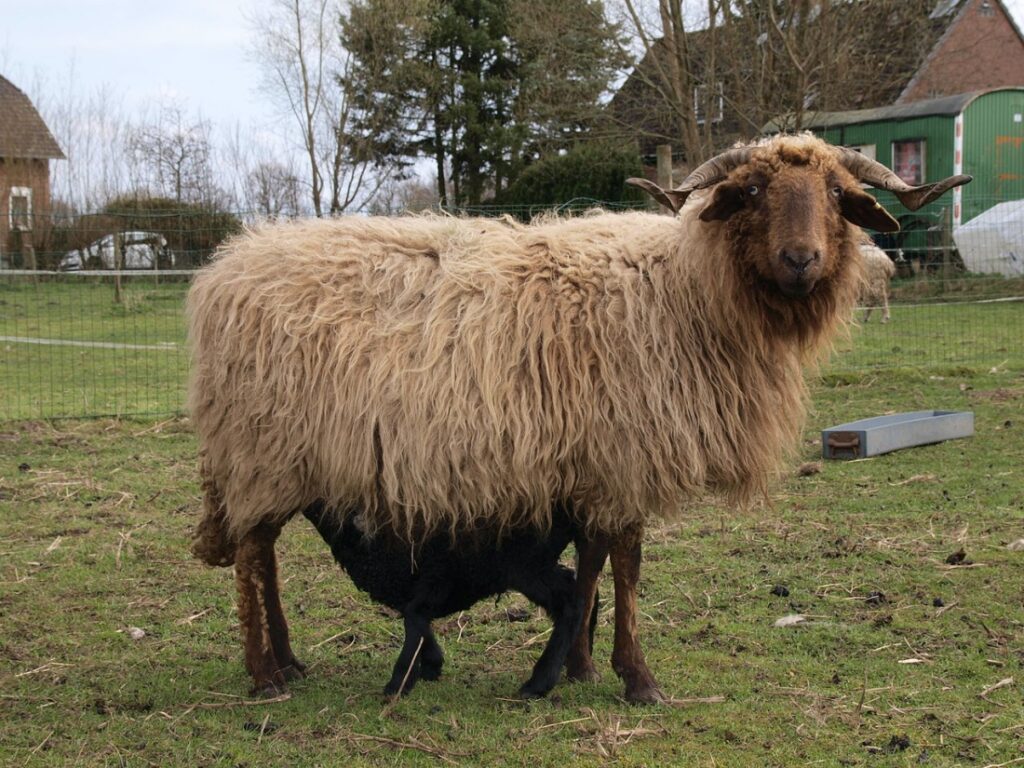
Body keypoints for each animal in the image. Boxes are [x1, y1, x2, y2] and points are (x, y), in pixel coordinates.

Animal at [303, 501, 589, 700]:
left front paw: (398, 683)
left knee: (570, 603)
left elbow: (414, 619)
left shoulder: (438, 574)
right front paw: (431, 665)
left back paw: (539, 682)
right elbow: (417, 621)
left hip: (525, 563)